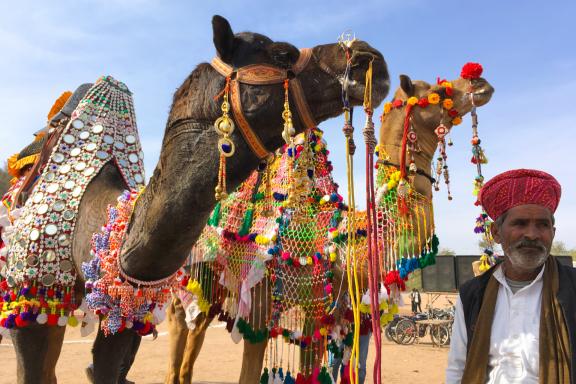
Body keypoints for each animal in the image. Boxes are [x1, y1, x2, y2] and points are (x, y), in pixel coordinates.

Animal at [168, 64, 496, 382]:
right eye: (440, 90)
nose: (480, 81)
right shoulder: (261, 306)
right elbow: (251, 375)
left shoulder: (337, 316)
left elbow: (330, 373)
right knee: (179, 323)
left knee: (194, 335)